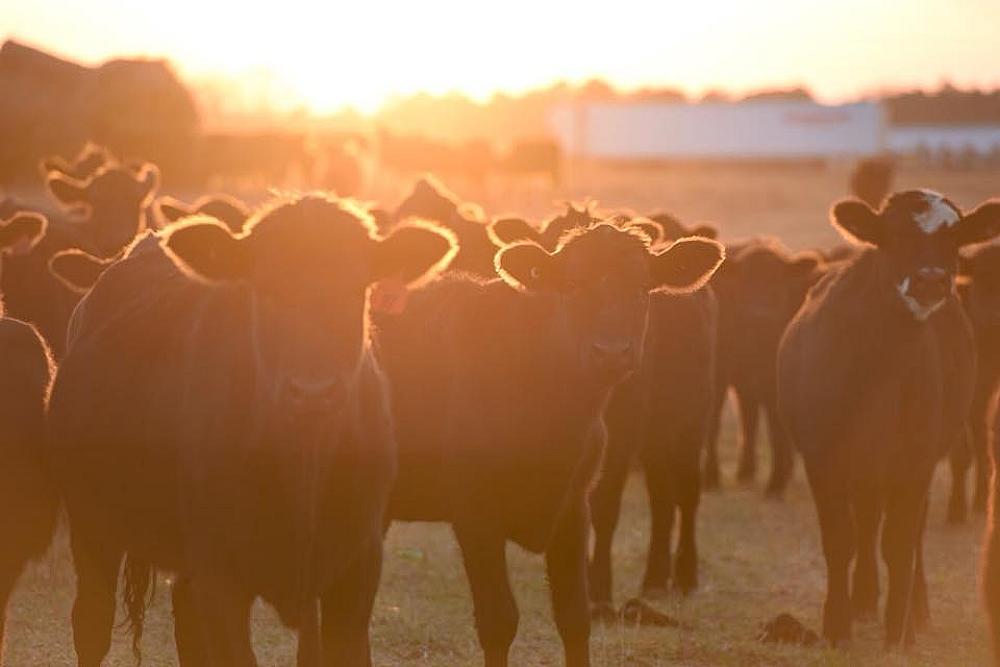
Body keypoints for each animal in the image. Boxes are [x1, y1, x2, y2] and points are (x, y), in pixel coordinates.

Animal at [46, 195, 457, 665]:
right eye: (265, 290)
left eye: (357, 291)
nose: (313, 392)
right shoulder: (222, 577)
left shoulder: (358, 568)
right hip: (92, 524)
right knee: (92, 621)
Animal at [373, 221, 723, 666]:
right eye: (572, 286)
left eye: (641, 288)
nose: (611, 353)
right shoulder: (475, 512)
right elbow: (498, 619)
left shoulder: (573, 507)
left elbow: (574, 616)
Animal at [703, 239, 823, 496]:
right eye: (745, 280)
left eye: (778, 280)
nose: (761, 314)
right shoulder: (718, 373)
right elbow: (714, 422)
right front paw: (710, 476)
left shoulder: (772, 379)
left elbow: (776, 430)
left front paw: (775, 485)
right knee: (748, 417)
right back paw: (745, 470)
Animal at [777, 190, 1000, 647]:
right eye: (895, 235)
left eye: (955, 239)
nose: (930, 280)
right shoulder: (823, 460)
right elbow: (840, 540)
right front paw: (837, 626)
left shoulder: (915, 461)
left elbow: (899, 542)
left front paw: (899, 633)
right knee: (865, 523)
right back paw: (863, 599)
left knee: (908, 535)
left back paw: (915, 609)